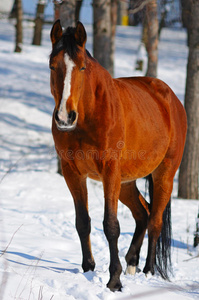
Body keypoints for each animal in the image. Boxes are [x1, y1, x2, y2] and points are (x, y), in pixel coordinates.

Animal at [49, 20, 187, 290]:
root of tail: (171, 99)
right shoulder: (72, 172)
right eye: (52, 65)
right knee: (143, 214)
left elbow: (111, 225)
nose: (64, 117)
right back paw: (132, 264)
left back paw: (148, 271)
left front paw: (114, 280)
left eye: (82, 67)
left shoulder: (109, 171)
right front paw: (88, 269)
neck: (89, 115)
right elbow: (83, 222)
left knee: (155, 221)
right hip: (126, 182)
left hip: (163, 174)